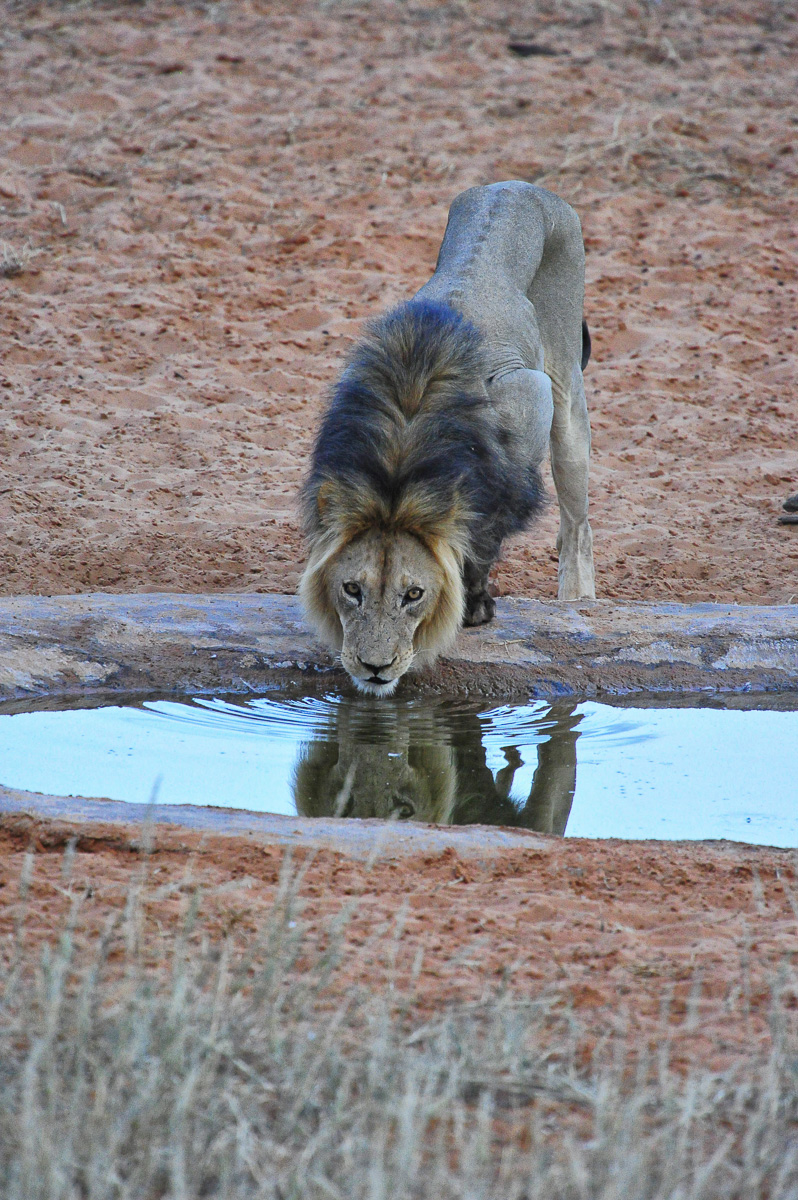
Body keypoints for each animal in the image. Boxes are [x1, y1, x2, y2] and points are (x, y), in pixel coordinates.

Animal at [300, 181, 595, 695]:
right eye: (352, 590)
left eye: (413, 594)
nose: (374, 668)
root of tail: (517, 184)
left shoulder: (528, 399)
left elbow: (484, 540)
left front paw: (475, 609)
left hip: (564, 383)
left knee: (577, 527)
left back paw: (577, 599)